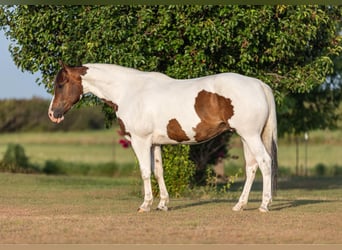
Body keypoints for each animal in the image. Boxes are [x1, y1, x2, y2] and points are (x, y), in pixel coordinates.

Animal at [48, 62, 278, 213]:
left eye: (60, 84)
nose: (53, 114)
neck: (129, 91)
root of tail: (259, 85)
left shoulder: (139, 141)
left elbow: (145, 172)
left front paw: (145, 205)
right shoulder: (154, 143)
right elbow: (158, 171)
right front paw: (162, 204)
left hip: (250, 135)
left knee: (265, 162)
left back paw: (264, 205)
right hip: (247, 137)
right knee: (252, 167)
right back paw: (240, 205)